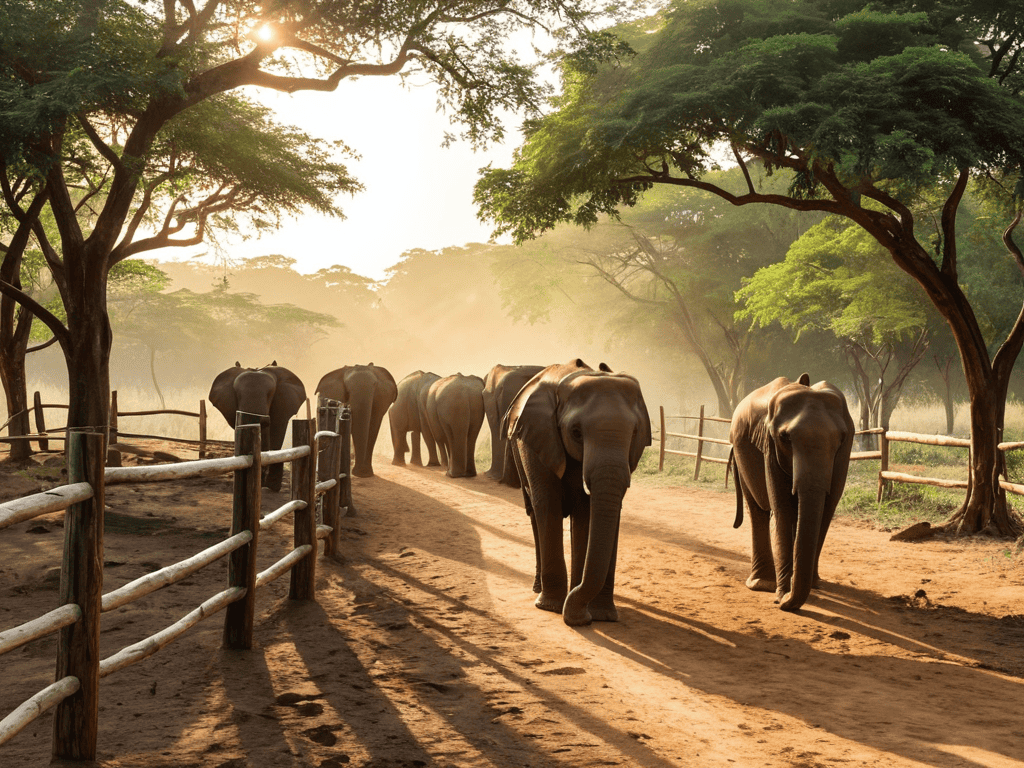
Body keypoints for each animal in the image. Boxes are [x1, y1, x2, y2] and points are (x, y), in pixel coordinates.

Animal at [504, 358, 652, 627]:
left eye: (635, 433)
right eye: (576, 432)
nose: (581, 618)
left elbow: (587, 512)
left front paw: (601, 616)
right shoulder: (540, 438)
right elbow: (549, 504)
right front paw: (553, 608)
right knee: (534, 511)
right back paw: (539, 591)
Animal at [729, 373, 855, 612]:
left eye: (840, 439)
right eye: (785, 438)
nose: (783, 600)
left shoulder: (845, 453)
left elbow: (827, 509)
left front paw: (803, 588)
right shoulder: (769, 444)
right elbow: (783, 509)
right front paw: (782, 594)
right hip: (741, 453)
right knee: (757, 510)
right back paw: (763, 584)